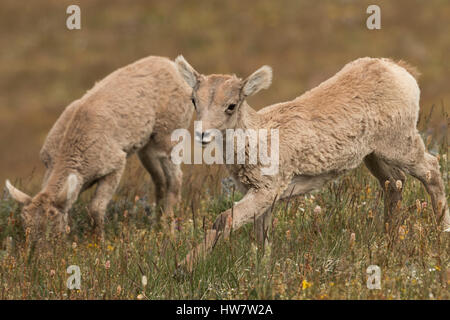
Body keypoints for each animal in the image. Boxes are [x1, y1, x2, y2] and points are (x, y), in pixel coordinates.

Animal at [5, 55, 193, 238]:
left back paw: (168, 228)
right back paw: (156, 222)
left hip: (168, 137)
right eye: (26, 230)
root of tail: (175, 67)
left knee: (176, 179)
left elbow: (95, 208)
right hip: (147, 148)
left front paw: (98, 241)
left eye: (54, 232)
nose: (38, 250)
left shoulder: (115, 164)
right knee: (159, 179)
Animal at [175, 55, 450, 270]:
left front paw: (183, 268)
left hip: (400, 144)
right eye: (194, 101)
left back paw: (442, 232)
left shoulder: (265, 191)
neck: (259, 137)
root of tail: (400, 71)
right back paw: (388, 239)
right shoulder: (262, 197)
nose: (202, 134)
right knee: (394, 183)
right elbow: (261, 237)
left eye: (231, 105)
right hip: (374, 156)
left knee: (431, 170)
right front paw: (262, 270)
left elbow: (224, 219)